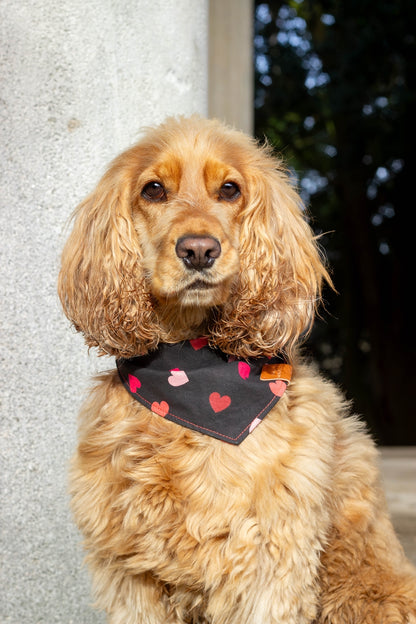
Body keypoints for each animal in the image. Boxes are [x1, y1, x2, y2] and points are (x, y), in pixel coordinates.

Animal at [58, 117, 416, 624]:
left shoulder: (268, 559)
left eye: (229, 190)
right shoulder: (130, 572)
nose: (198, 250)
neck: (192, 378)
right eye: (153, 190)